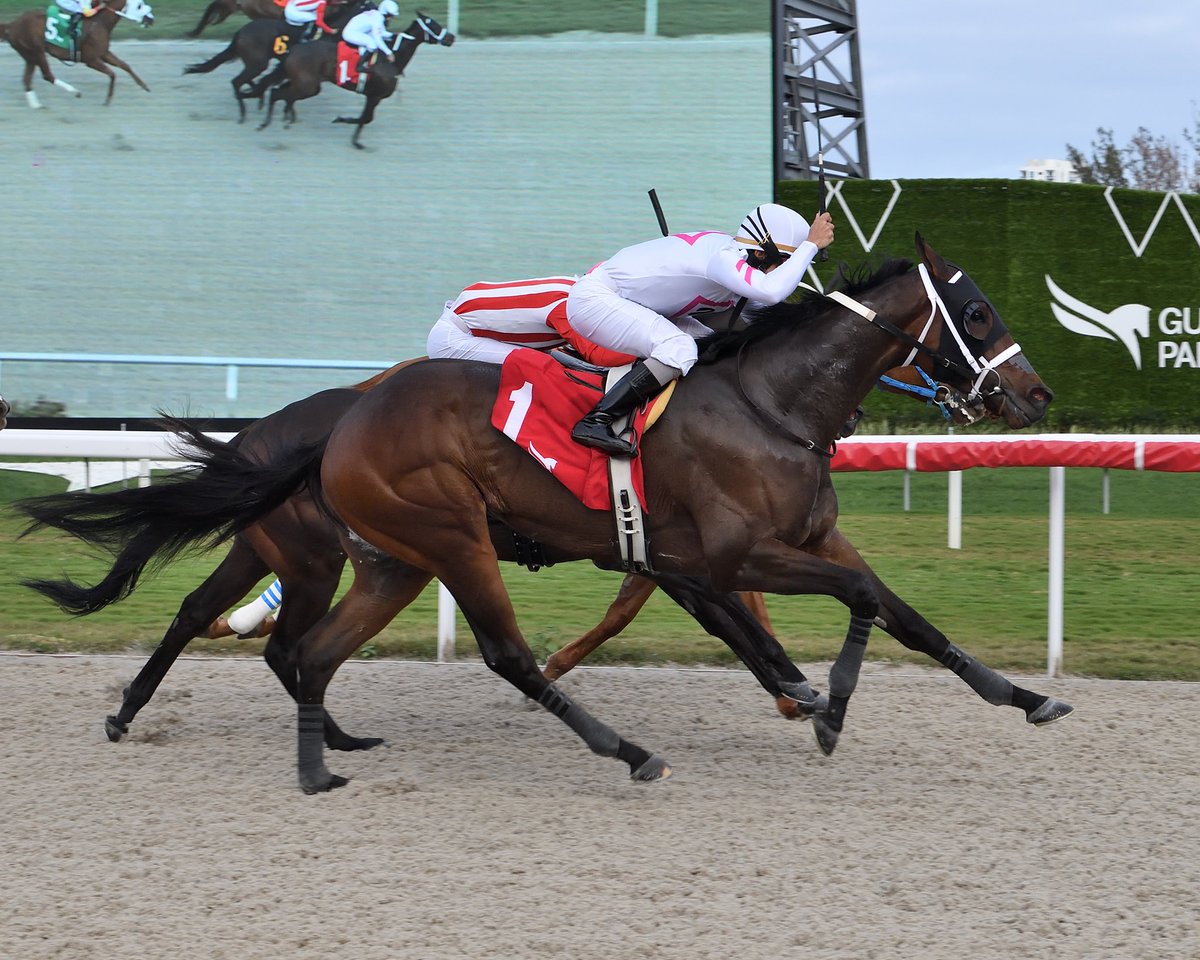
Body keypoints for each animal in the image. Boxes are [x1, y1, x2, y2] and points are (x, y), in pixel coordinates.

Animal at [0, 0, 154, 108]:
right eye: (139, 5)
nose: (151, 19)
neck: (99, 22)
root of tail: (12, 25)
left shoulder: (103, 53)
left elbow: (124, 65)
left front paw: (144, 86)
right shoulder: (91, 60)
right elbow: (112, 74)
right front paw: (107, 100)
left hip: (29, 55)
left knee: (27, 80)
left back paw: (36, 105)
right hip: (37, 51)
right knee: (48, 76)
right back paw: (75, 92)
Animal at [16, 236, 1070, 792]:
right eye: (977, 312)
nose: (1036, 394)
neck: (770, 403)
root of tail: (336, 426)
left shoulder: (777, 542)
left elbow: (900, 611)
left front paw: (1022, 696)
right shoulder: (729, 555)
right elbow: (846, 601)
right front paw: (825, 704)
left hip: (384, 560)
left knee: (288, 646)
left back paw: (318, 755)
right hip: (429, 542)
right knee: (497, 654)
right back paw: (625, 750)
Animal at [254, 10, 453, 148]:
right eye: (434, 25)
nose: (451, 37)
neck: (393, 57)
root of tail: (294, 49)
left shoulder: (372, 96)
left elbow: (366, 118)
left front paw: (356, 141)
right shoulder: (375, 96)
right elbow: (366, 118)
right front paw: (341, 121)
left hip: (301, 82)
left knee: (280, 92)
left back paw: (282, 119)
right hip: (308, 86)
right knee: (279, 93)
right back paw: (268, 123)